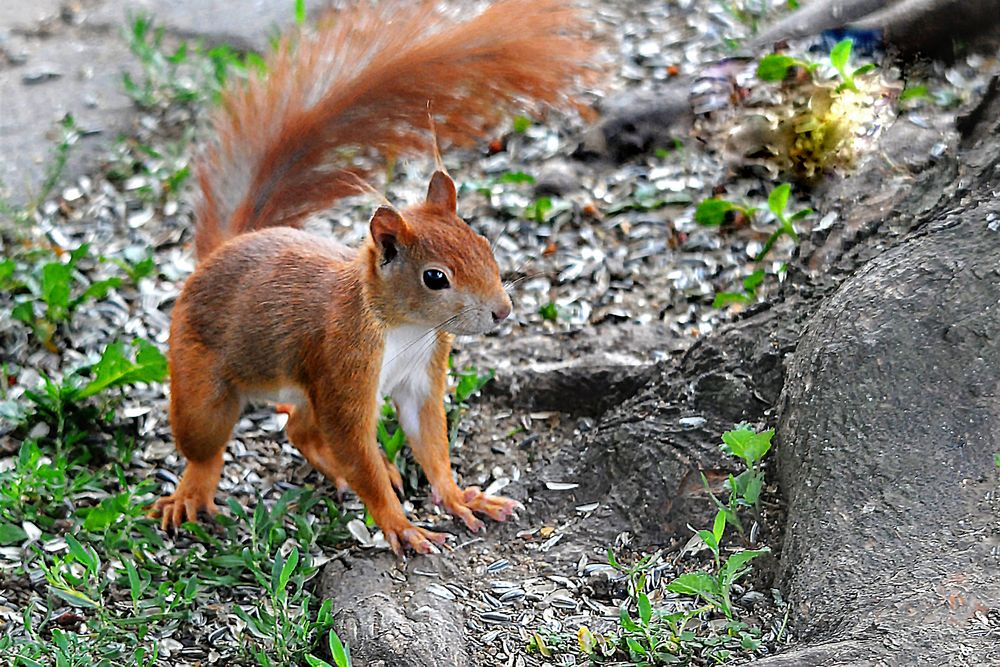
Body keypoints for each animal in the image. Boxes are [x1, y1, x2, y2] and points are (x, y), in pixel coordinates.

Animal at [148, 0, 592, 552]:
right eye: (435, 278)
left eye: (485, 245)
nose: (502, 311)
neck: (404, 327)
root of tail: (220, 251)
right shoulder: (343, 365)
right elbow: (355, 450)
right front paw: (400, 525)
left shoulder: (421, 376)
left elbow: (429, 440)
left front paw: (460, 497)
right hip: (202, 376)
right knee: (207, 443)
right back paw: (192, 491)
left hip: (306, 390)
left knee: (299, 430)